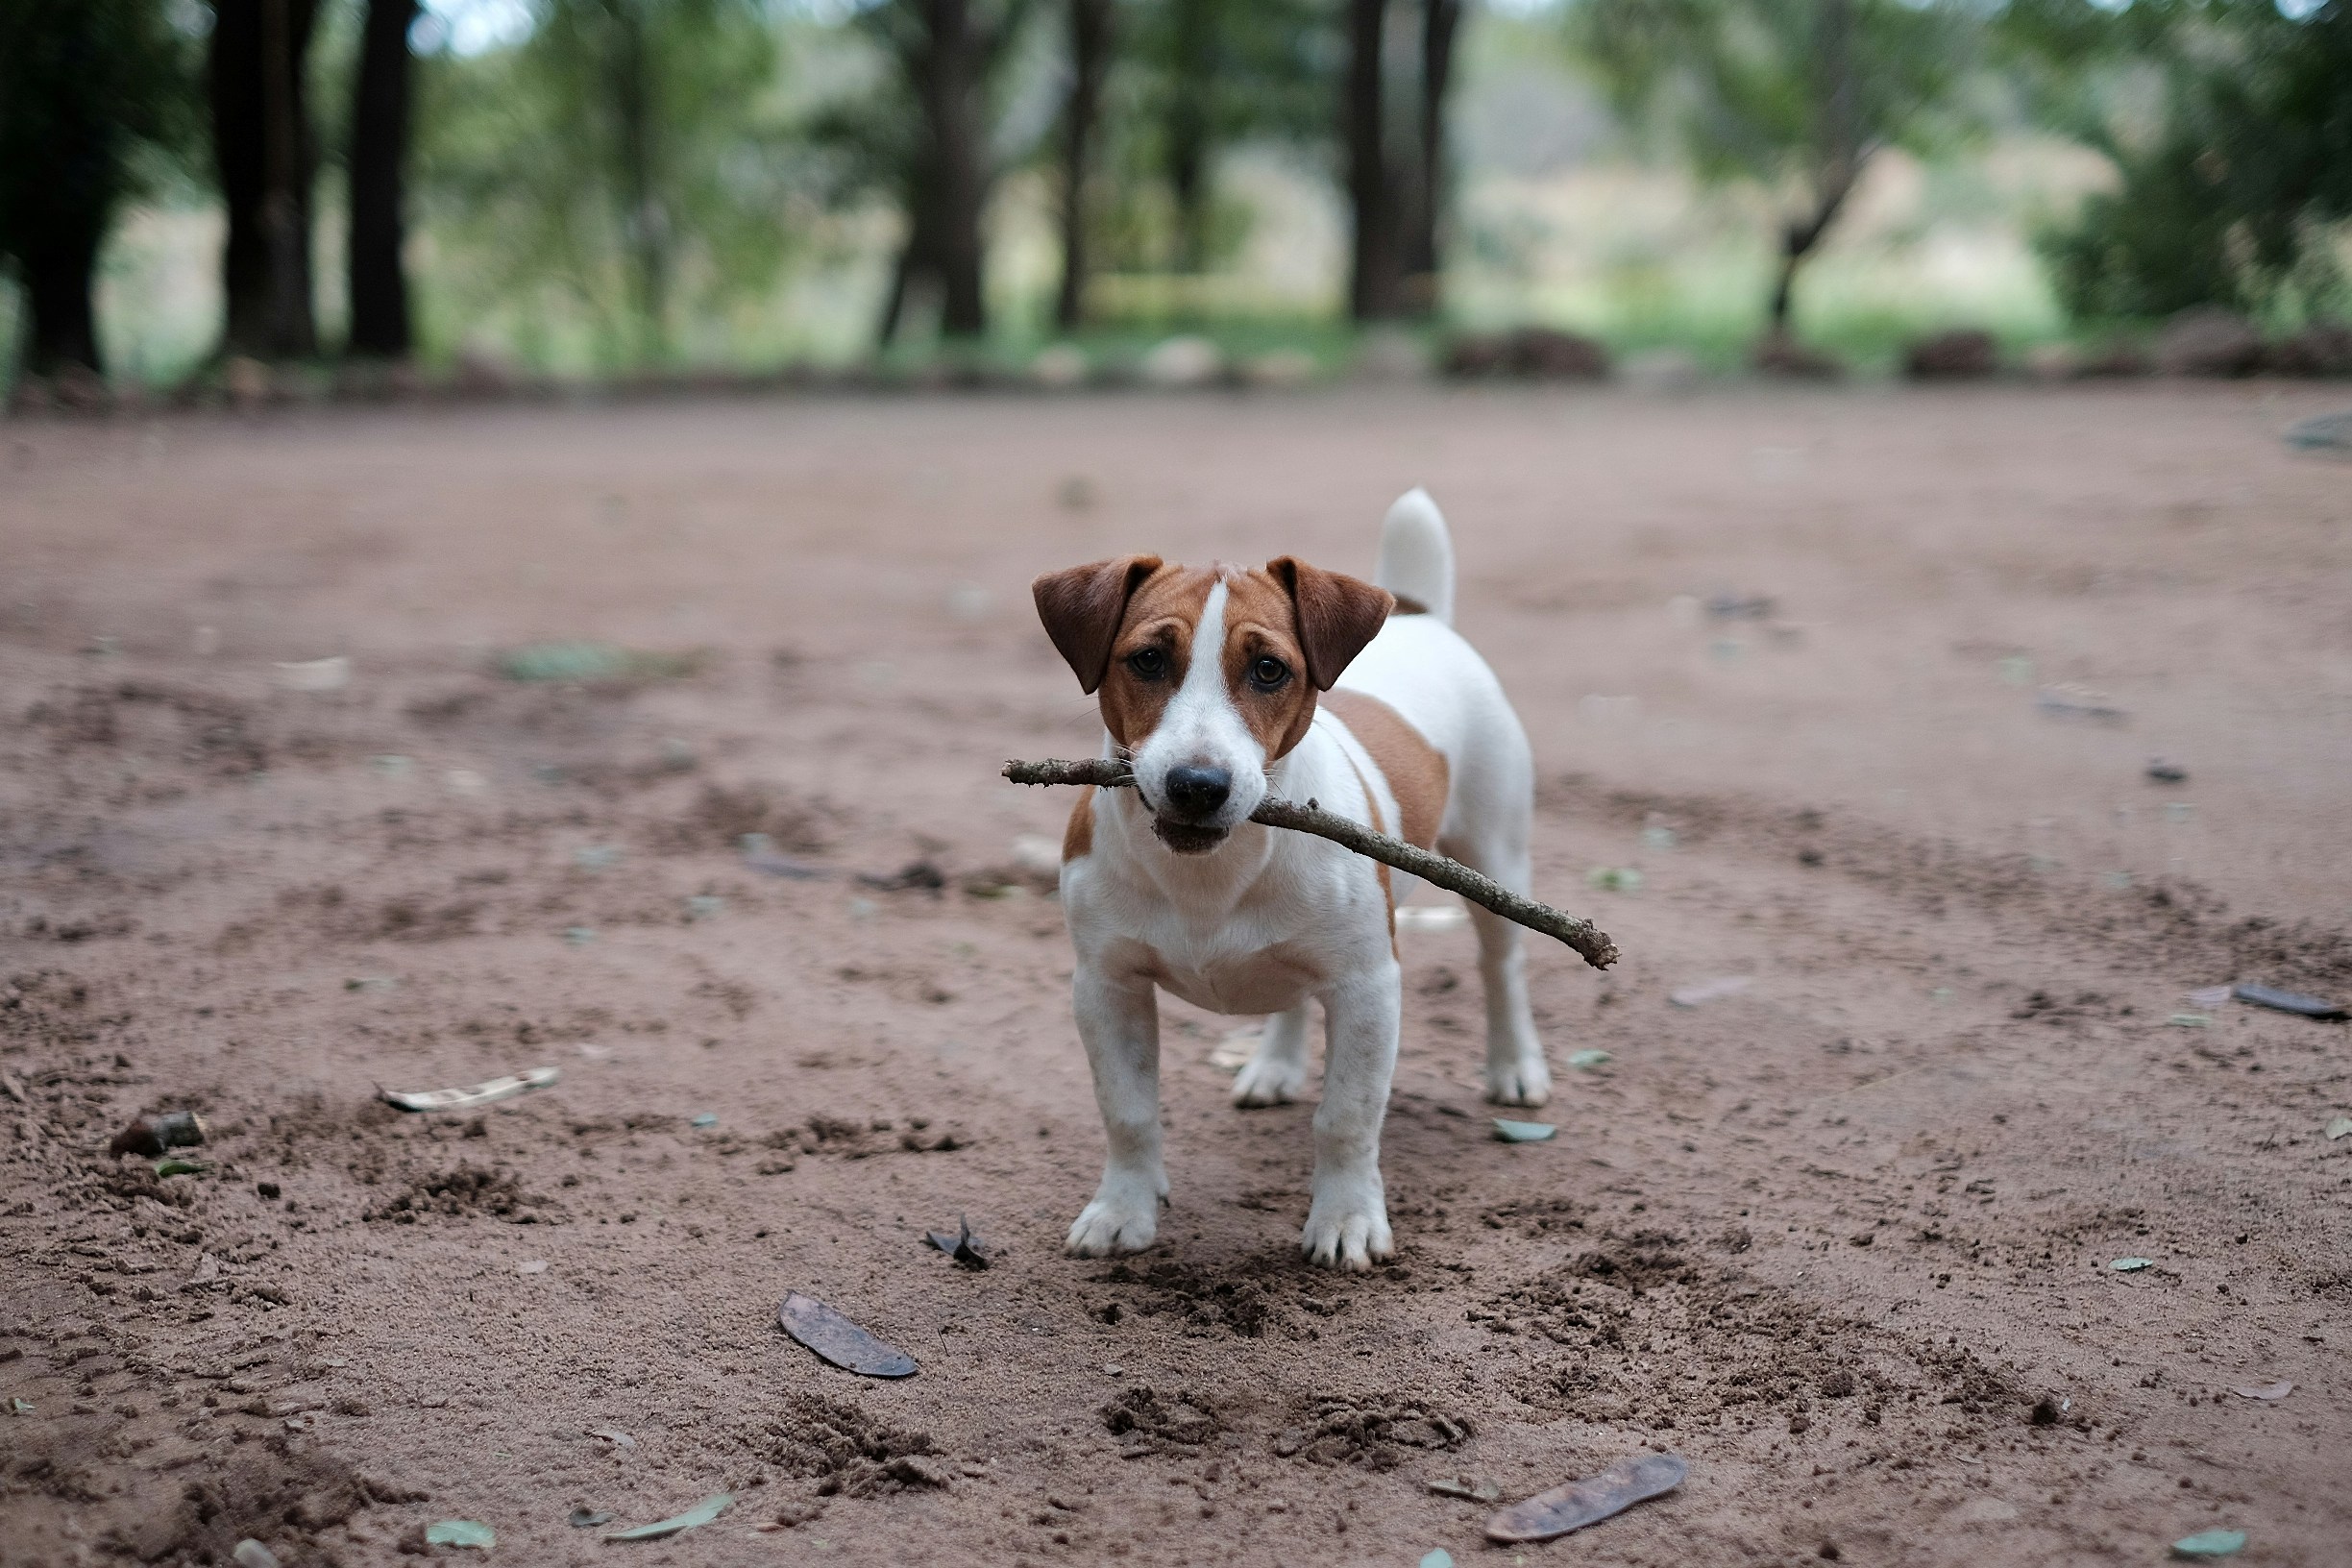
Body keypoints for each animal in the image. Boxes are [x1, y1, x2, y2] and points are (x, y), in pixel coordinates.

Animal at [1040, 491, 1552, 1279]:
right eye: (1148, 659)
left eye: (1270, 670)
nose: (1197, 785)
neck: (1211, 875)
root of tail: (1418, 614)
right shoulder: (1105, 985)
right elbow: (1126, 1110)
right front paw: (1122, 1210)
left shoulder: (1367, 987)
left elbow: (1346, 1117)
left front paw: (1346, 1219)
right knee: (1291, 993)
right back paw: (1273, 1067)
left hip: (1493, 860)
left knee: (1502, 965)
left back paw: (1515, 1065)